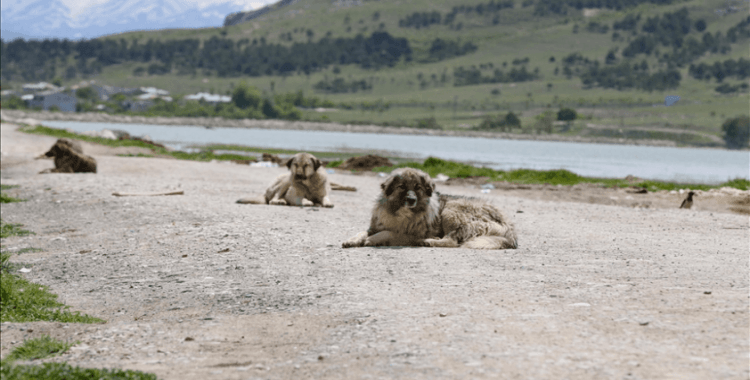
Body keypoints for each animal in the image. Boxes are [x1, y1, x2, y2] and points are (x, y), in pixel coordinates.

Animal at [344, 168, 520, 251]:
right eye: (402, 187)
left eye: (418, 187)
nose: (411, 200)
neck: (400, 214)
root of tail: (509, 226)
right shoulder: (375, 226)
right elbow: (362, 232)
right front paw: (352, 240)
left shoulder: (409, 234)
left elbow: (387, 233)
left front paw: (371, 240)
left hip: (451, 210)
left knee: (452, 241)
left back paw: (428, 241)